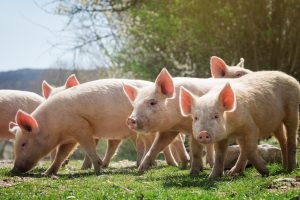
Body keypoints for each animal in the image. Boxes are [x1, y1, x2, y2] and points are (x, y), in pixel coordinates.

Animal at [8, 79, 188, 176]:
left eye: (23, 144)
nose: (14, 169)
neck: (54, 125)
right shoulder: (69, 138)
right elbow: (61, 154)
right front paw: (47, 173)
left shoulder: (81, 126)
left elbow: (88, 147)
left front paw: (98, 169)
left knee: (174, 141)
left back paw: (176, 164)